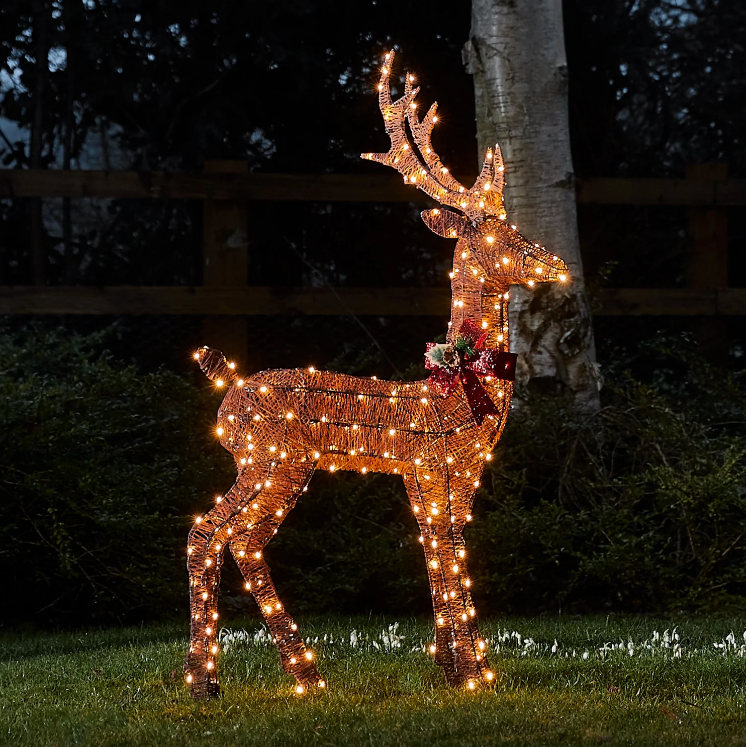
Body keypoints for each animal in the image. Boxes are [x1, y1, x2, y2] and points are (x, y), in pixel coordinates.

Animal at [185, 50, 569, 700]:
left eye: (513, 226)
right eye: (495, 235)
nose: (557, 265)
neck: (459, 385)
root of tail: (227, 385)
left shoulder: (442, 474)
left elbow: (442, 553)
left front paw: (454, 666)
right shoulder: (437, 466)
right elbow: (449, 551)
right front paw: (471, 674)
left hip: (272, 465)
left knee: (229, 538)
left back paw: (252, 676)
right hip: (271, 460)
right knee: (217, 533)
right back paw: (242, 677)